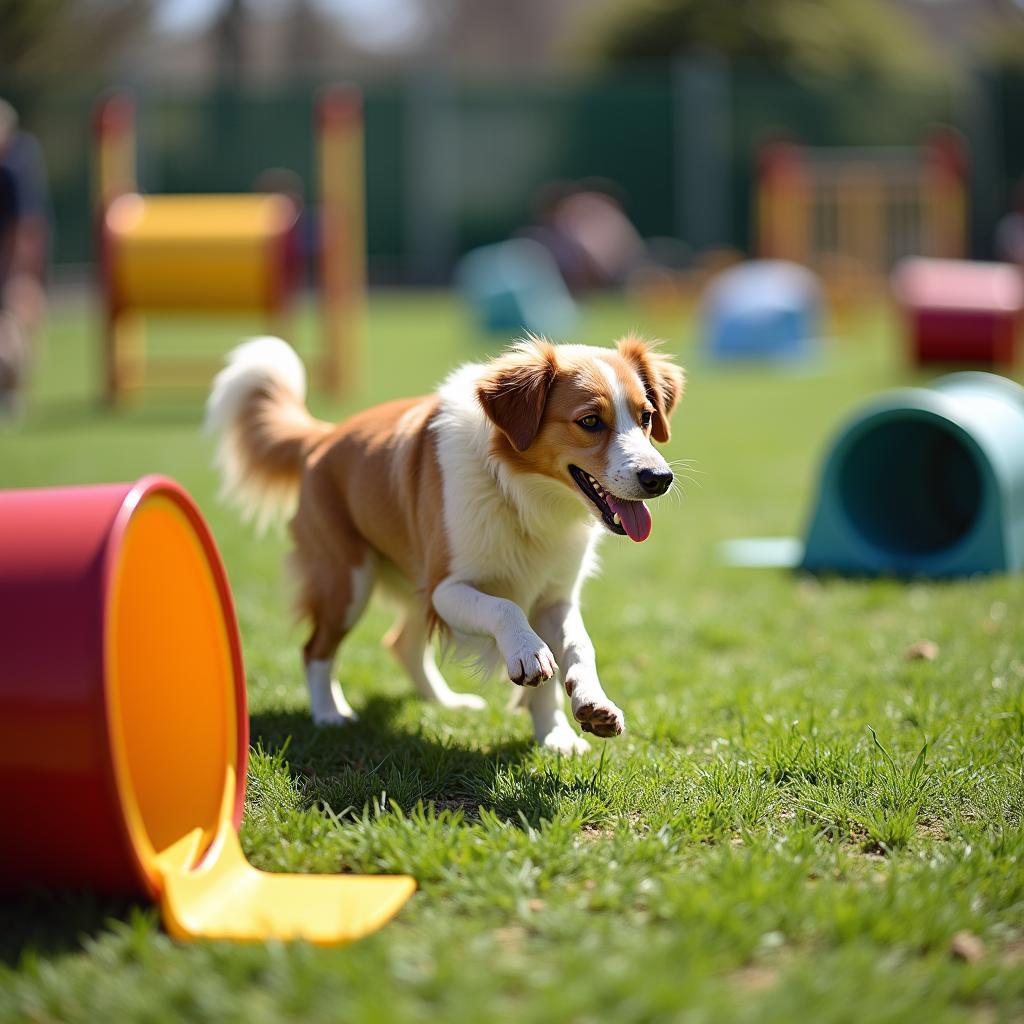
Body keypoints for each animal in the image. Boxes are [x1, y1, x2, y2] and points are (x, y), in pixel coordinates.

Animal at [203, 335, 684, 753]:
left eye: (645, 416)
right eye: (589, 421)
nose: (659, 479)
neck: (522, 494)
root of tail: (324, 435)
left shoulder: (553, 598)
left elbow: (579, 646)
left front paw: (568, 725)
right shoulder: (447, 587)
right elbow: (505, 610)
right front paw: (528, 653)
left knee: (401, 642)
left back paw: (446, 702)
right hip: (348, 581)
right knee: (315, 649)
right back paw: (329, 714)